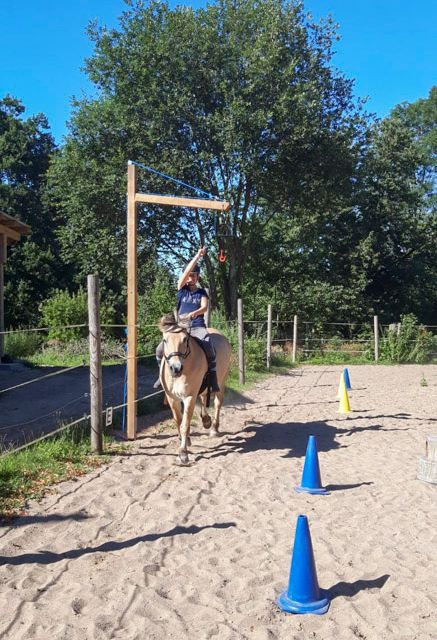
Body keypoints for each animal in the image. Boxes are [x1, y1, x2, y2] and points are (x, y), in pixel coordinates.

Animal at [158, 312, 232, 464]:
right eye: (165, 340)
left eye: (185, 339)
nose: (175, 368)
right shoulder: (172, 398)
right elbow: (178, 420)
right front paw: (186, 441)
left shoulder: (189, 397)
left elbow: (185, 424)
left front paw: (183, 453)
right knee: (203, 398)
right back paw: (206, 420)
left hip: (221, 381)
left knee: (217, 403)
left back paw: (214, 428)